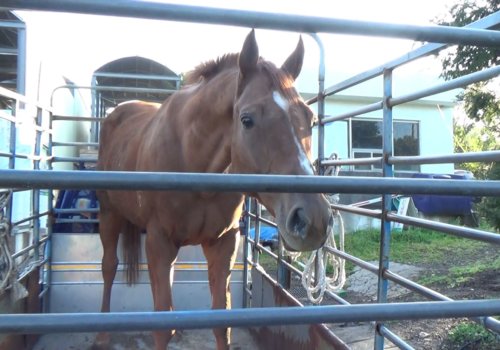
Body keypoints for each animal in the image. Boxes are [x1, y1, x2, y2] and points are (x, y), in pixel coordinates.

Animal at [96, 30, 334, 350]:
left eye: (310, 119)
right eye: (246, 120)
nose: (313, 220)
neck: (192, 158)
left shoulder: (223, 243)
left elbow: (221, 321)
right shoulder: (159, 242)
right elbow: (161, 326)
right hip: (109, 214)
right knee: (109, 267)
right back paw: (101, 333)